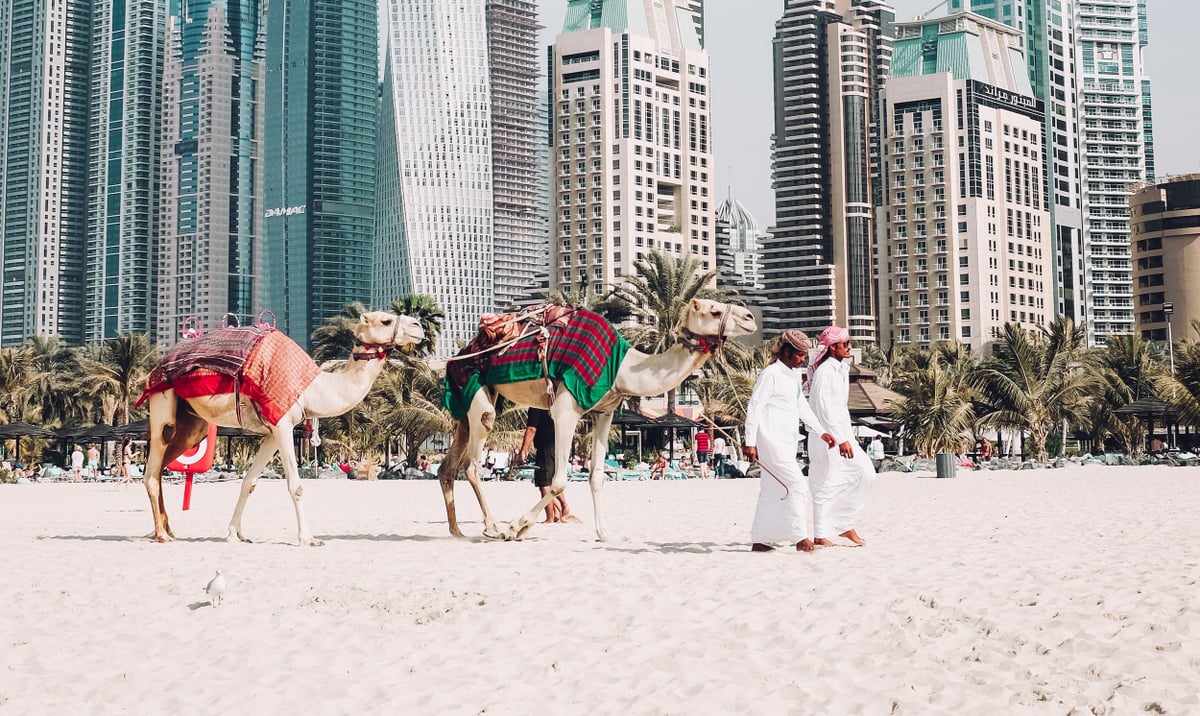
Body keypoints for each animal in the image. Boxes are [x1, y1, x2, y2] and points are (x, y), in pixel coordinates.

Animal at [136, 309, 424, 544]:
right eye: (386, 320)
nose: (419, 326)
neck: (312, 388)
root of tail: (155, 368)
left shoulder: (273, 432)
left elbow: (250, 481)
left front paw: (235, 533)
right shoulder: (283, 425)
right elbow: (295, 485)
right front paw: (308, 538)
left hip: (193, 423)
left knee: (162, 466)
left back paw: (167, 528)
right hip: (163, 401)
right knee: (153, 467)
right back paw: (161, 534)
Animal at [436, 297, 753, 542]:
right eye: (713, 310)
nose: (750, 317)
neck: (621, 368)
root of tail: (459, 354)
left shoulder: (604, 413)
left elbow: (597, 476)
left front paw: (604, 533)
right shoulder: (565, 410)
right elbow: (559, 481)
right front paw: (517, 527)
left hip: (469, 401)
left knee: (448, 466)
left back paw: (456, 532)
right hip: (475, 389)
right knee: (473, 463)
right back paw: (492, 528)